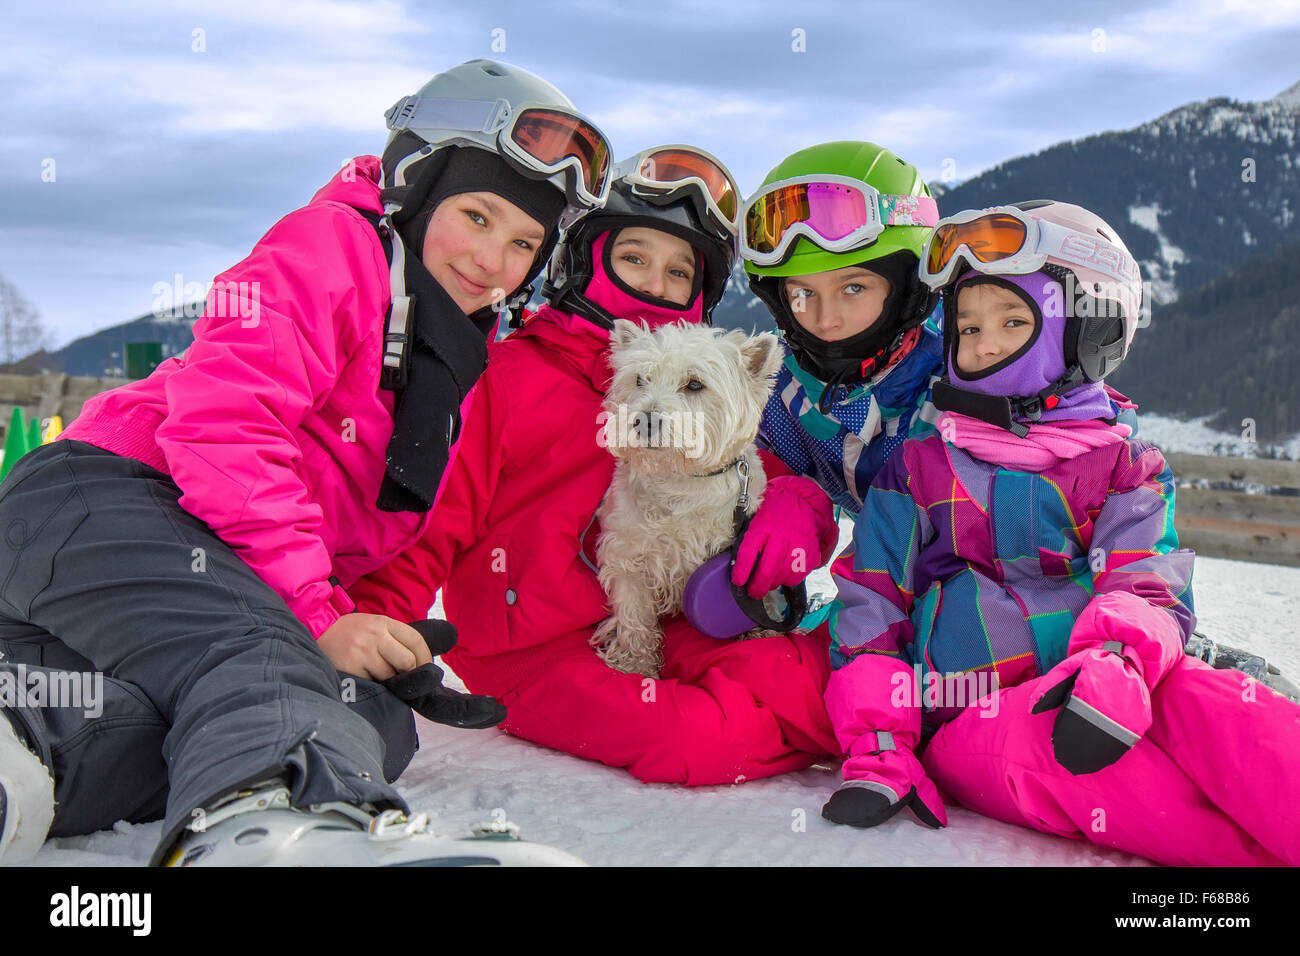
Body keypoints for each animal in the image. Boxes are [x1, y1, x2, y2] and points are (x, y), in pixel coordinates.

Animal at [592, 317, 780, 676]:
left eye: (694, 385)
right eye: (640, 379)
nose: (645, 420)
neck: (681, 482)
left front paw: (760, 628)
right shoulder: (627, 555)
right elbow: (634, 611)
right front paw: (637, 665)